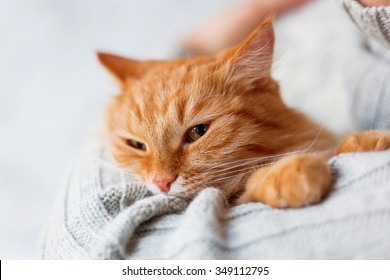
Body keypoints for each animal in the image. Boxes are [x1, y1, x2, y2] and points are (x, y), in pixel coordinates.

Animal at [98, 17, 390, 208]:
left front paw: (370, 141)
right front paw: (290, 172)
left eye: (198, 132)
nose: (161, 183)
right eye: (136, 145)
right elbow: (248, 183)